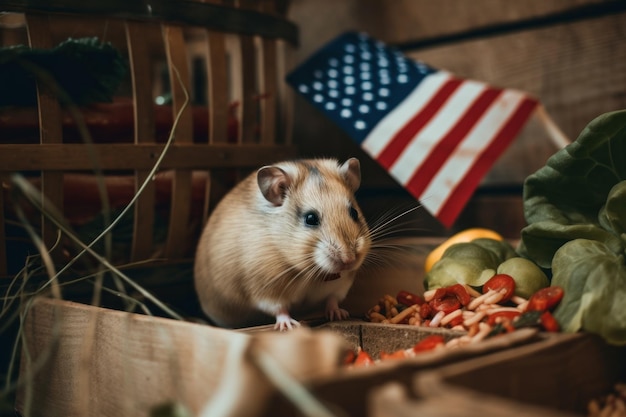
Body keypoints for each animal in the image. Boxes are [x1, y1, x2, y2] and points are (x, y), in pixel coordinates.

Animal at [194, 158, 370, 330]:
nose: (349, 260)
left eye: (354, 212)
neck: (310, 271)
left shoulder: (340, 285)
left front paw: (340, 314)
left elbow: (332, 299)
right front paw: (288, 325)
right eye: (310, 218)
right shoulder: (266, 288)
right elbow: (280, 308)